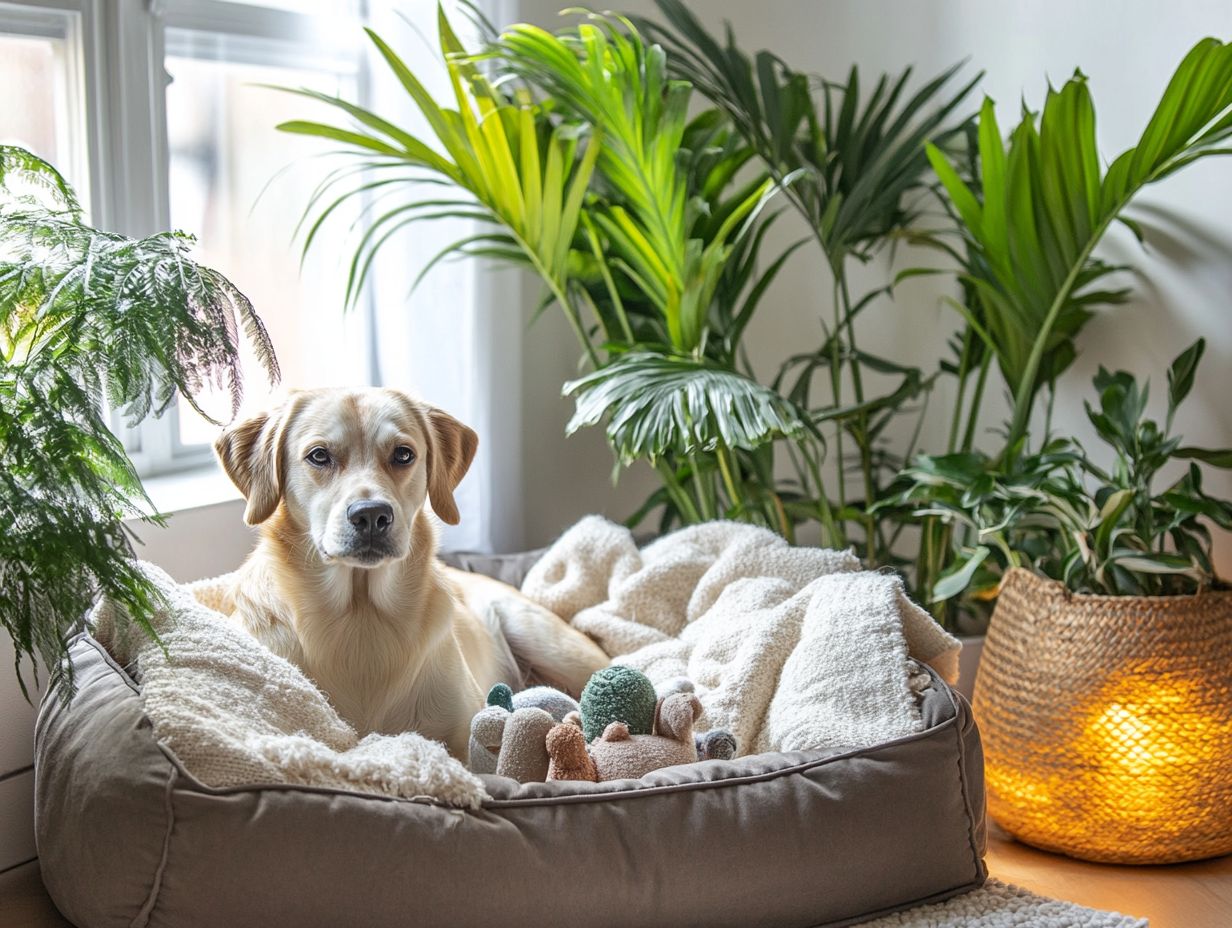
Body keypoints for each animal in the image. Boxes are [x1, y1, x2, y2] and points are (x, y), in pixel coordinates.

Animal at [209, 386, 608, 754]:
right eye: (319, 455)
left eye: (403, 454)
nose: (371, 515)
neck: (361, 617)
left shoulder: (465, 738)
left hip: (547, 640)